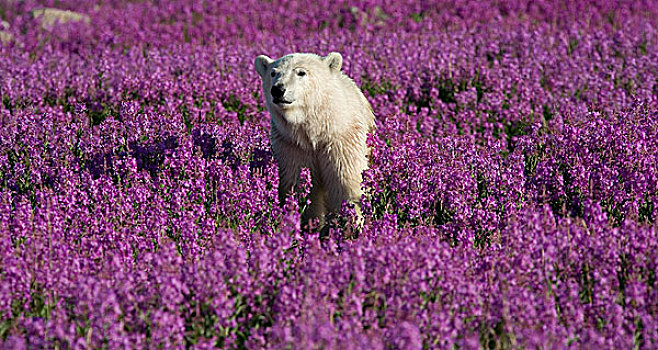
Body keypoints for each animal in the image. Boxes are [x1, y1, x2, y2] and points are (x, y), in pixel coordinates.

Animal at [252, 51, 374, 227]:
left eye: (301, 72)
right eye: (273, 73)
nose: (278, 89)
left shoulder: (341, 141)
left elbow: (346, 182)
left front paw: (353, 224)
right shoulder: (293, 146)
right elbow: (301, 187)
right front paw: (310, 225)